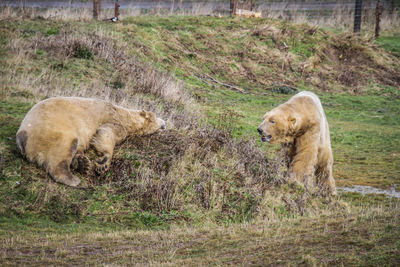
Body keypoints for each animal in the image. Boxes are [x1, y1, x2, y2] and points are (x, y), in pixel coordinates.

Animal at [16, 97, 166, 187]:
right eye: (156, 117)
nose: (165, 123)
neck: (125, 115)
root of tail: (22, 137)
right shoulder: (112, 118)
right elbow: (106, 133)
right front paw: (103, 163)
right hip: (53, 130)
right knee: (64, 148)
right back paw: (72, 179)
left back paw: (82, 164)